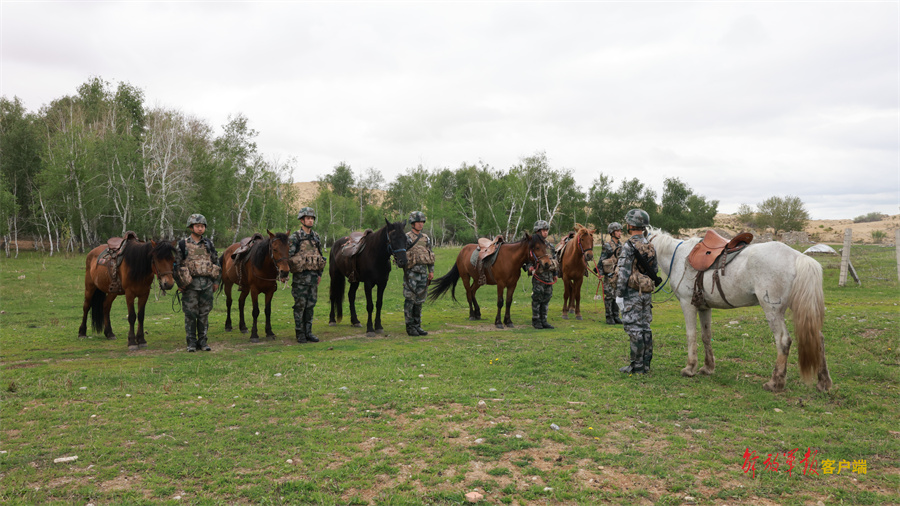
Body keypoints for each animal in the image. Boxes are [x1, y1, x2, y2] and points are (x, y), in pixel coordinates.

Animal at [648, 227, 828, 394]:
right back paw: (823, 383)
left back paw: (775, 382)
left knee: (783, 341)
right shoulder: (704, 307)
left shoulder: (687, 304)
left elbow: (691, 335)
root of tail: (797, 257)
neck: (677, 257)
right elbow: (706, 336)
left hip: (772, 310)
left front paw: (690, 368)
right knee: (818, 337)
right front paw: (708, 367)